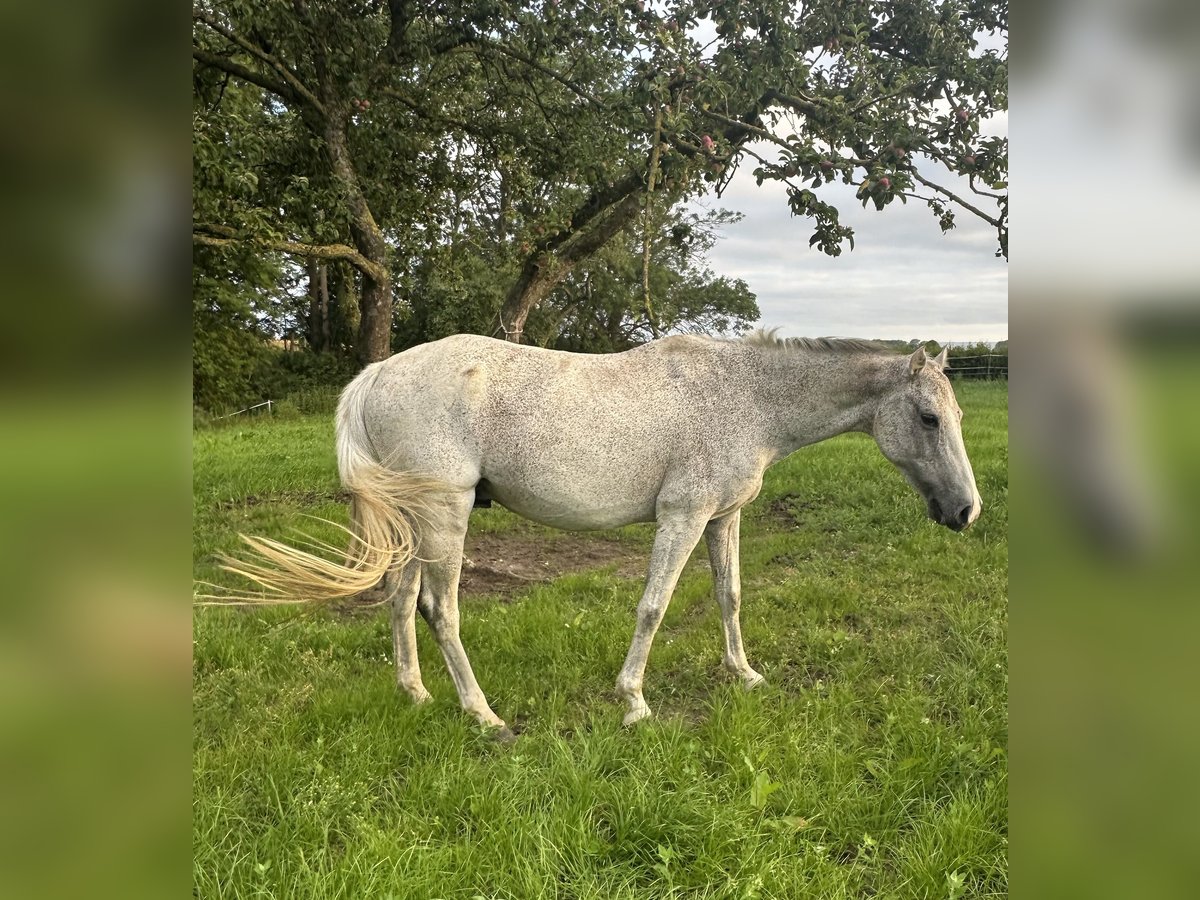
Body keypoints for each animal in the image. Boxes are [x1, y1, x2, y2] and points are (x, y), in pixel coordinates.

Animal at [223, 333, 974, 739]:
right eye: (929, 418)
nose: (967, 512)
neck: (746, 397)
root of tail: (379, 372)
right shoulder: (683, 517)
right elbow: (653, 607)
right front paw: (634, 702)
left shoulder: (723, 519)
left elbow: (730, 599)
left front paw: (744, 674)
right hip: (447, 514)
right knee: (441, 609)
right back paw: (483, 715)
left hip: (416, 521)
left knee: (402, 601)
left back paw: (416, 695)